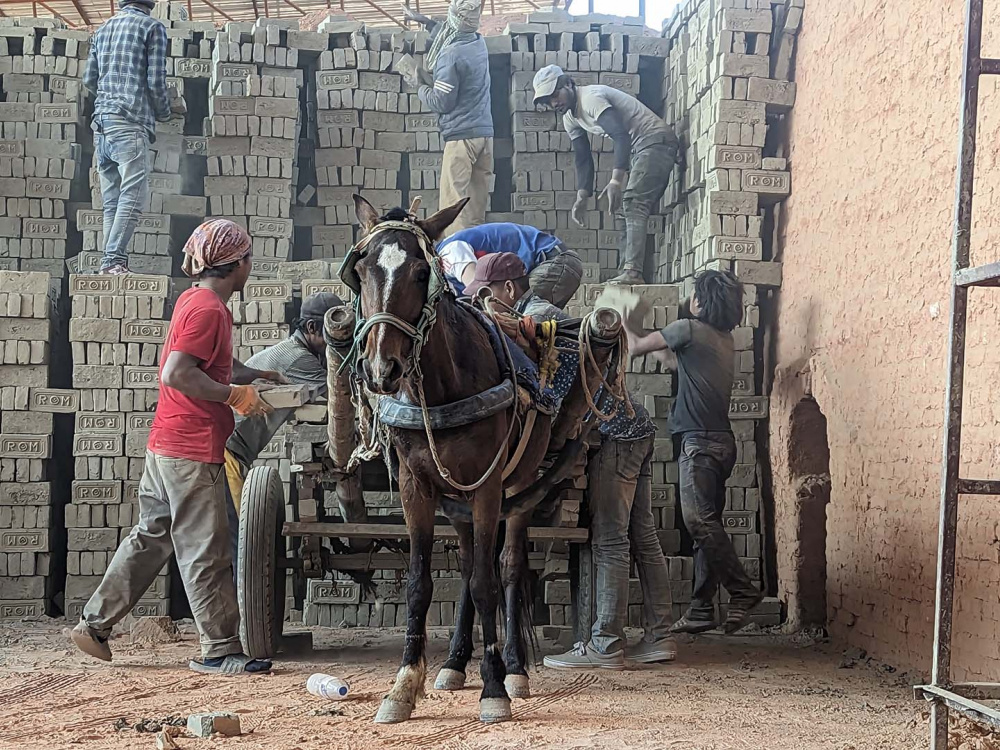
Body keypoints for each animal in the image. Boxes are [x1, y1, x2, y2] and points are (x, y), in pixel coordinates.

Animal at [346, 197, 624, 724]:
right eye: (362, 270)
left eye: (421, 272)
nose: (381, 369)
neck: (442, 388)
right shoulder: (417, 485)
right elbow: (422, 583)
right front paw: (404, 685)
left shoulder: (490, 484)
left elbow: (487, 583)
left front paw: (494, 686)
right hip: (460, 497)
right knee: (471, 562)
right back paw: (455, 662)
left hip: (515, 489)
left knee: (508, 567)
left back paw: (514, 667)